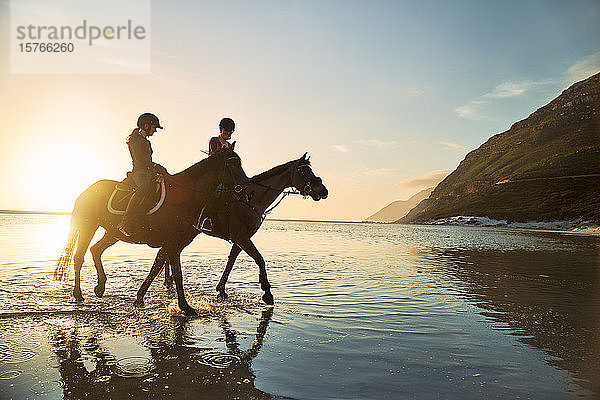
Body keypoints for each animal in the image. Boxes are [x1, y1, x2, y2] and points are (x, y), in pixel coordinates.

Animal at [54, 144, 246, 316]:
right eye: (233, 163)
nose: (244, 189)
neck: (184, 197)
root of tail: (87, 190)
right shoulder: (172, 244)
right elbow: (177, 273)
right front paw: (185, 307)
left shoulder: (173, 244)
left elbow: (156, 268)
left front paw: (140, 298)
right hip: (88, 226)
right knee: (79, 257)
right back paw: (78, 294)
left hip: (112, 233)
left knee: (96, 250)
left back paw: (100, 287)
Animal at [135, 153, 328, 306]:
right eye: (304, 171)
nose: (323, 190)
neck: (251, 198)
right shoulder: (241, 236)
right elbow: (259, 259)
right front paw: (267, 292)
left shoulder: (241, 239)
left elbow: (231, 262)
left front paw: (221, 289)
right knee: (165, 254)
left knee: (164, 254)